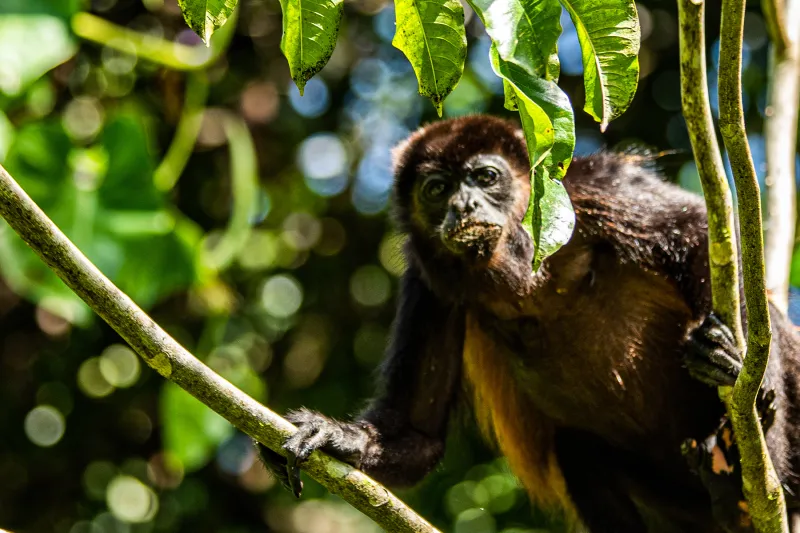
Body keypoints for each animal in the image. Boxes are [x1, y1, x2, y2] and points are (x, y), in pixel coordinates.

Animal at [260, 114, 800, 528]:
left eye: (485, 177)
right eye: (436, 189)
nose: (463, 205)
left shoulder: (592, 191)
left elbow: (697, 231)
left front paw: (722, 352)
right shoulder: (427, 287)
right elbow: (417, 433)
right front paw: (335, 436)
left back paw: (741, 465)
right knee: (578, 450)